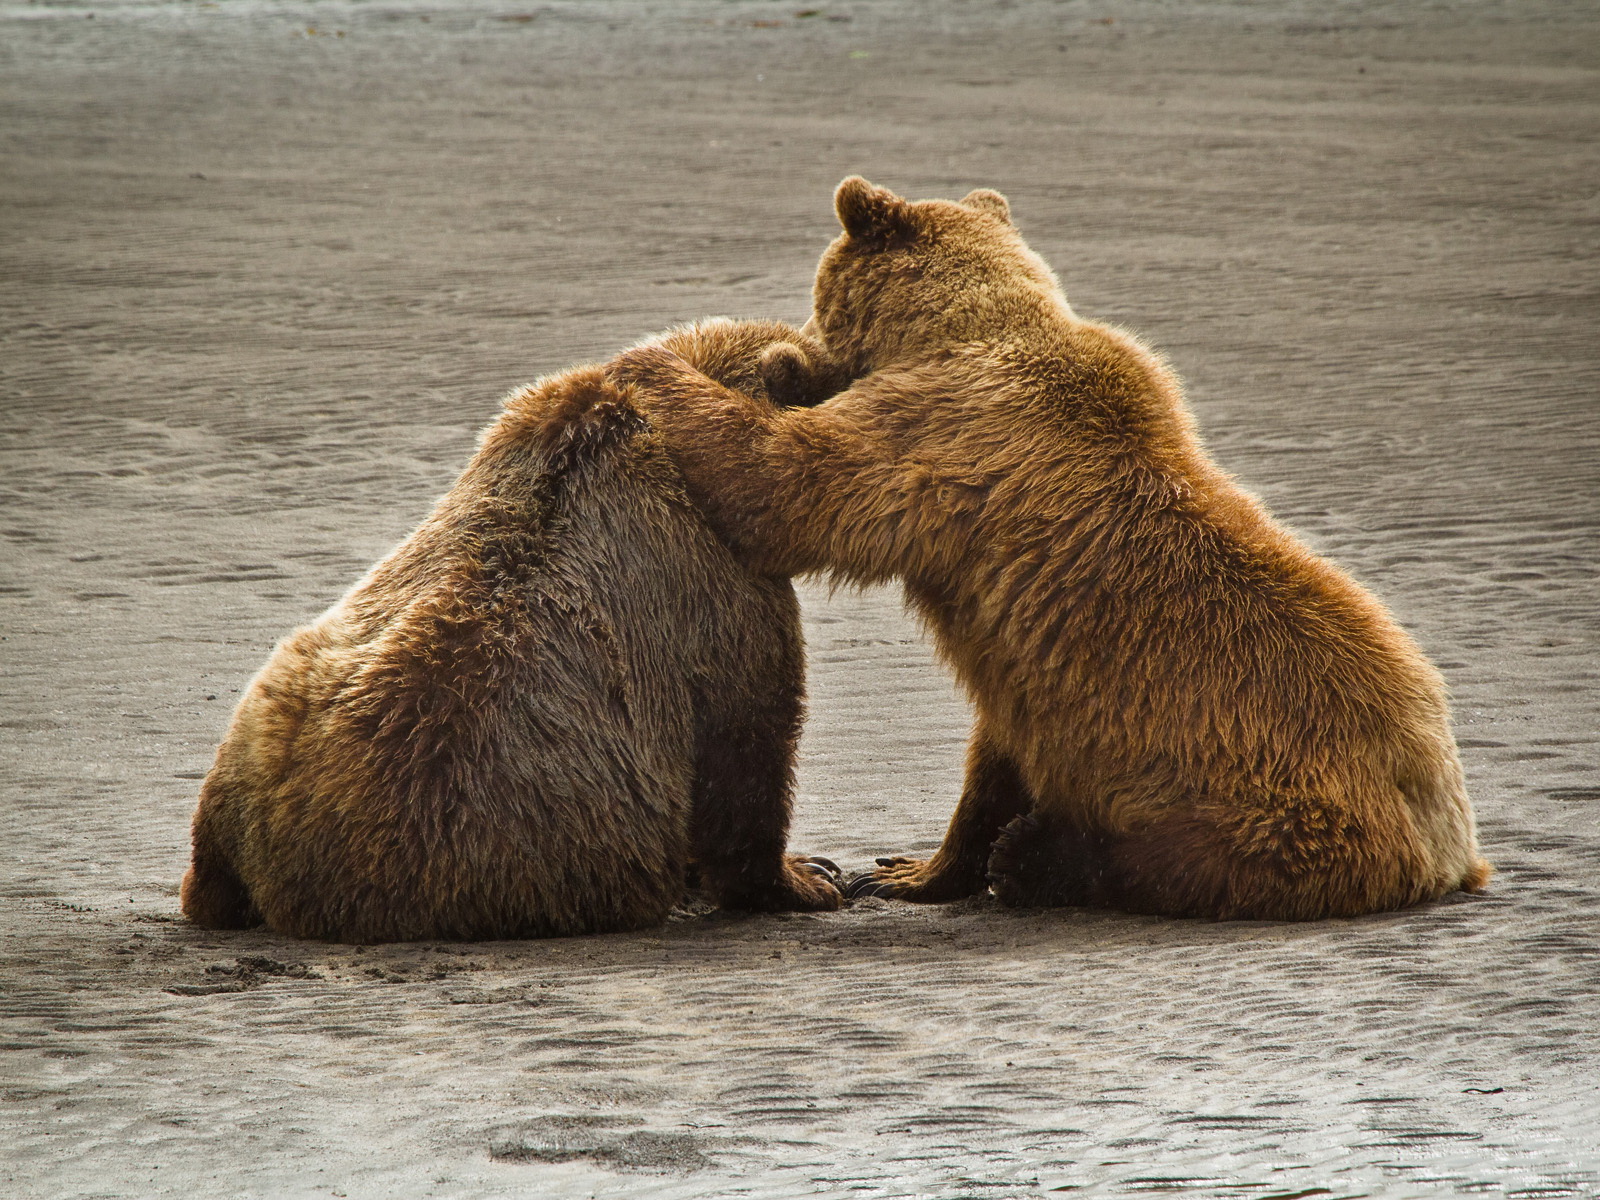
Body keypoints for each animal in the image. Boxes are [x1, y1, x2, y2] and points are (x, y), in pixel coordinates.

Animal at [604, 176, 1491, 921]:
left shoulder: (940, 434)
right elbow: (992, 756)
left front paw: (652, 360)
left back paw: (1042, 859)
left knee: (1186, 857)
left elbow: (785, 483)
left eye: (819, 293)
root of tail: (1453, 847)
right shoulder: (1023, 668)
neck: (962, 330)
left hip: (1273, 808)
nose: (804, 348)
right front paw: (908, 869)